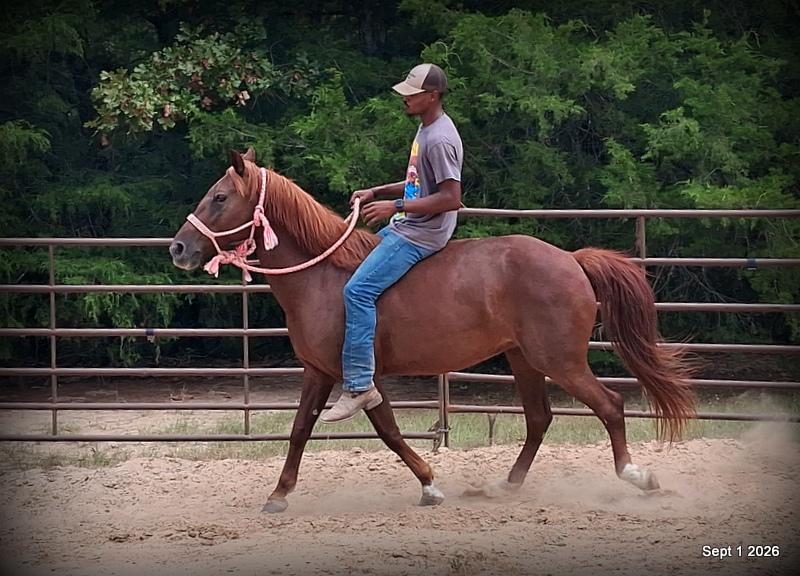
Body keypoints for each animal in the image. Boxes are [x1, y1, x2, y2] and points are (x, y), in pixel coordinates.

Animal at [170, 148, 696, 513]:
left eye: (220, 197)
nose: (179, 247)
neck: (322, 276)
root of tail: (571, 259)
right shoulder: (320, 371)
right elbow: (303, 429)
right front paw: (278, 494)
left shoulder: (356, 375)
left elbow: (387, 431)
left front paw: (429, 484)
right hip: (524, 359)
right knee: (539, 418)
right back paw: (505, 484)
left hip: (559, 360)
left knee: (609, 405)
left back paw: (637, 476)